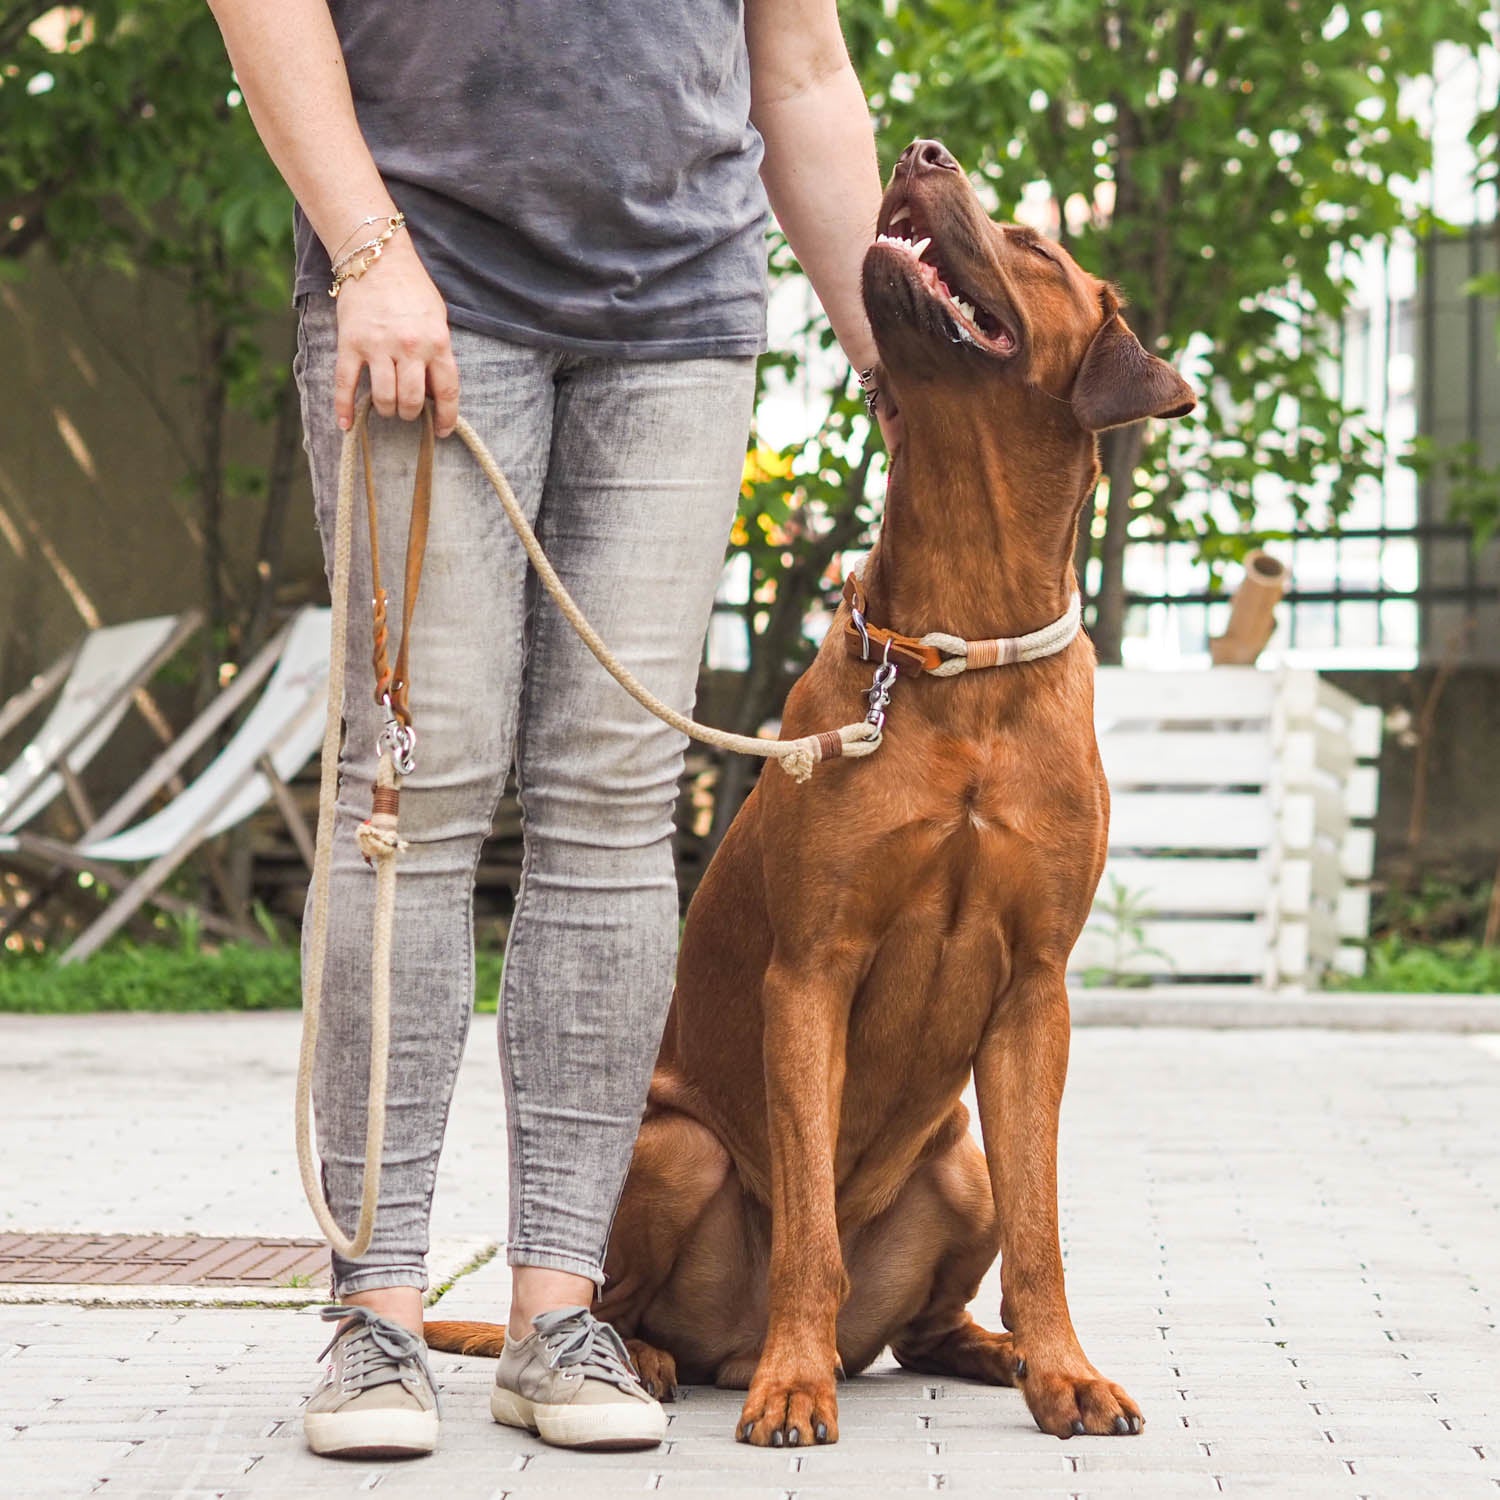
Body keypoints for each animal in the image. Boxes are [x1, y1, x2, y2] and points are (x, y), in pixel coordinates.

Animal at [432, 141, 1194, 1440]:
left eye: (1036, 246)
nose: (923, 153)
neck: (960, 641)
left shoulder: (1037, 992)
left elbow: (1042, 1230)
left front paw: (1067, 1371)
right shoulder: (812, 971)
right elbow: (806, 1229)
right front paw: (794, 1384)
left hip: (957, 1164)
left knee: (932, 1315)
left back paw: (989, 1352)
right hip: (674, 1148)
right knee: (630, 1297)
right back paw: (664, 1360)